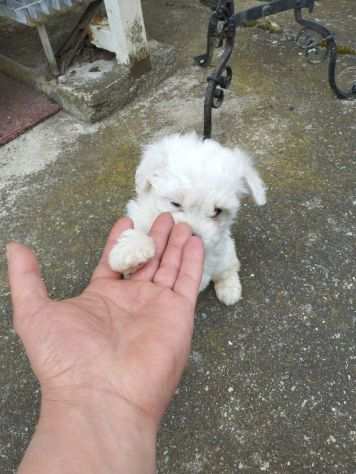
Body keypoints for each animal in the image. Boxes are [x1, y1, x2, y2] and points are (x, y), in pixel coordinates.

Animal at [110, 131, 266, 306]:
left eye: (217, 211)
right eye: (175, 203)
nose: (192, 235)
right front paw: (131, 249)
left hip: (226, 254)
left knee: (228, 270)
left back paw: (229, 290)